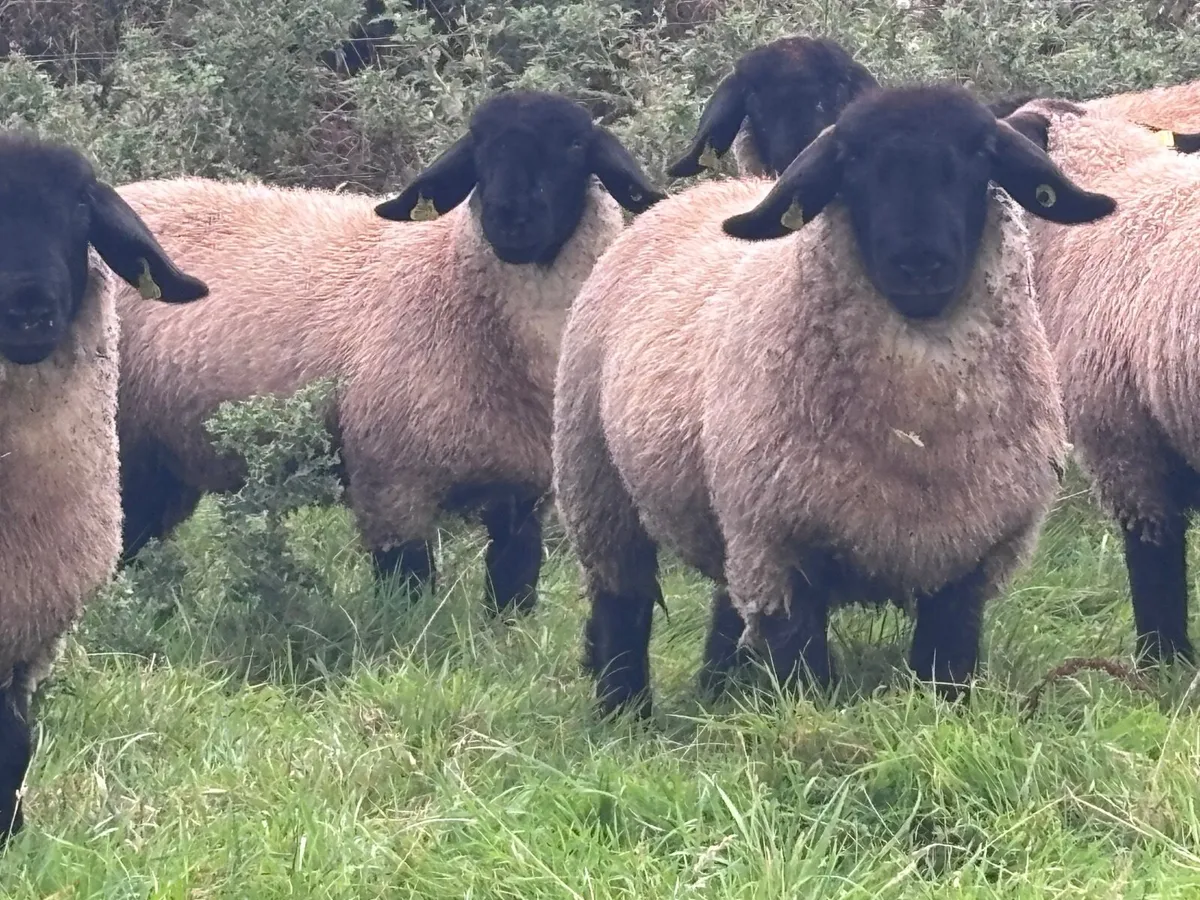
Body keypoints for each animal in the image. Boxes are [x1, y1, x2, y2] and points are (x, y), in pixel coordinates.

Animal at [113, 89, 665, 617]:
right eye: (480, 150)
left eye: (574, 146)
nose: (509, 219)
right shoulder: (391, 479)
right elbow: (408, 586)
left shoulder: (524, 490)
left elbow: (514, 584)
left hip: (168, 455)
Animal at [552, 84, 1117, 716]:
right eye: (852, 161)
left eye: (980, 153)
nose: (919, 264)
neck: (918, 441)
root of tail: (696, 195)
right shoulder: (782, 554)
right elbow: (804, 677)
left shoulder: (969, 559)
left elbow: (946, 667)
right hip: (597, 480)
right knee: (622, 603)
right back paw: (623, 711)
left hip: (728, 512)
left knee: (727, 600)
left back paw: (716, 688)